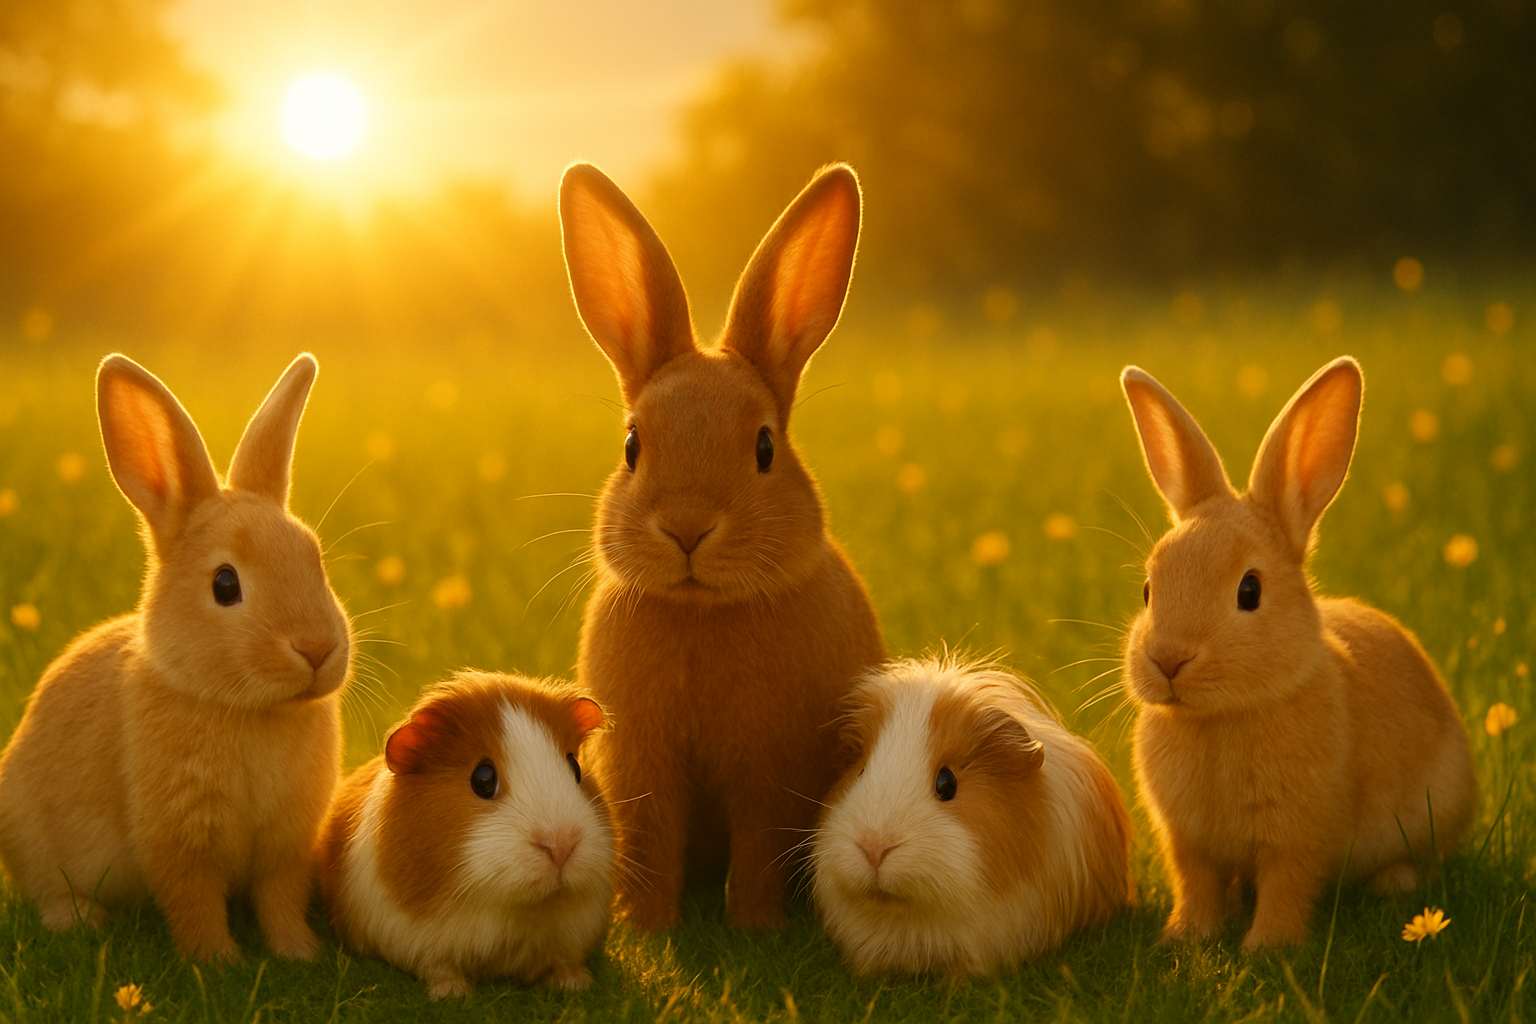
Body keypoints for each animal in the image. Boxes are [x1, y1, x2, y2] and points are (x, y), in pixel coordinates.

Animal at [0, 353, 351, 961]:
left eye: (315, 559)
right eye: (225, 584)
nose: (316, 648)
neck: (248, 709)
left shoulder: (286, 846)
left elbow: (279, 899)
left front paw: (298, 953)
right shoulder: (179, 842)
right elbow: (195, 903)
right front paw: (217, 962)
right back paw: (81, 919)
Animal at [318, 671, 613, 999]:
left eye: (575, 767)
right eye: (483, 779)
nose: (561, 845)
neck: (517, 913)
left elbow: (562, 962)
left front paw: (577, 984)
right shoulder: (415, 940)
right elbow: (439, 968)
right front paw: (452, 994)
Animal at [557, 162, 886, 930]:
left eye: (764, 447)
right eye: (632, 445)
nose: (686, 528)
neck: (700, 610)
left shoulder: (769, 770)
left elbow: (761, 847)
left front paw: (757, 928)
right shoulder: (643, 768)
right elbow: (650, 844)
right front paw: (644, 928)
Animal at [1119, 356, 1477, 952]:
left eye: (1250, 591)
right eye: (1148, 590)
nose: (1168, 660)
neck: (1220, 717)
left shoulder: (1298, 839)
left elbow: (1286, 887)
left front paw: (1268, 948)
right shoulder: (1187, 843)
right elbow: (1197, 886)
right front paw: (1186, 938)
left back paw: (1394, 885)